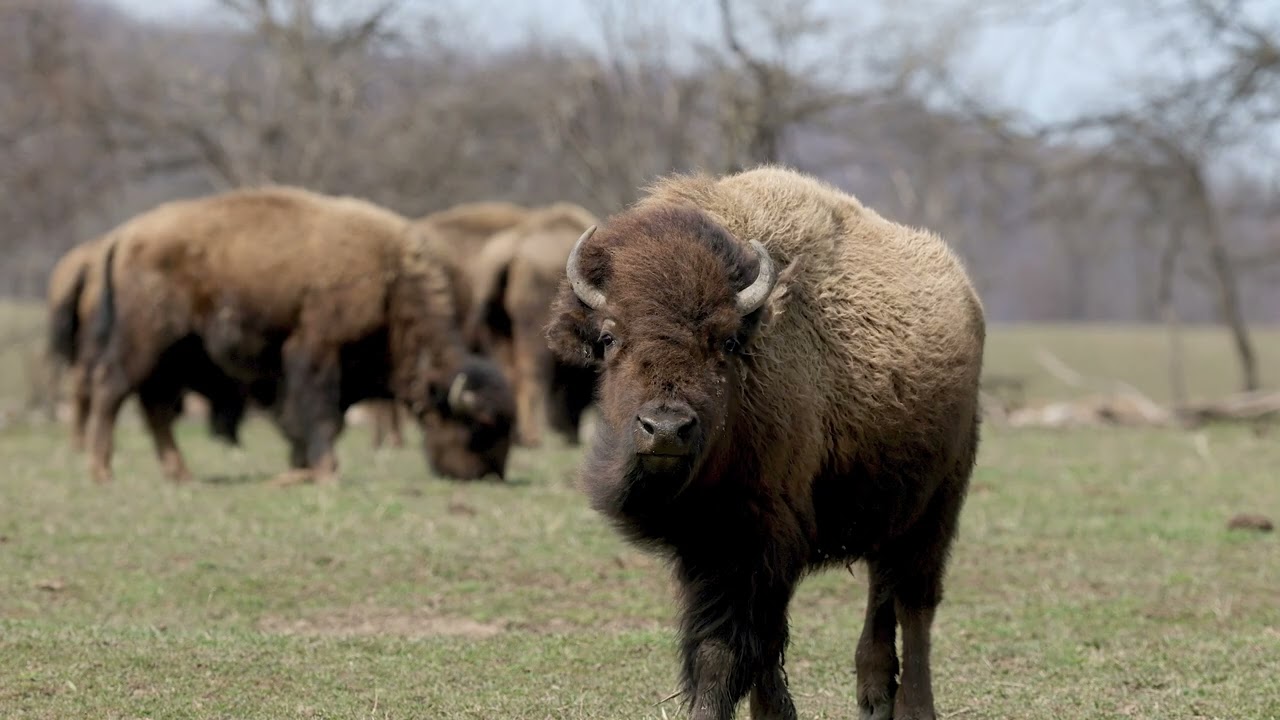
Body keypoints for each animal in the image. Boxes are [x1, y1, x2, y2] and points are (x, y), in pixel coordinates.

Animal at [546, 166, 985, 720]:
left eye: (727, 341)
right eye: (608, 338)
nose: (665, 428)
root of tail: (966, 295)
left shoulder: (755, 542)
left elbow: (727, 648)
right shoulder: (708, 546)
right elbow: (751, 646)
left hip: (936, 508)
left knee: (915, 604)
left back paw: (915, 707)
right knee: (883, 595)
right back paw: (873, 697)